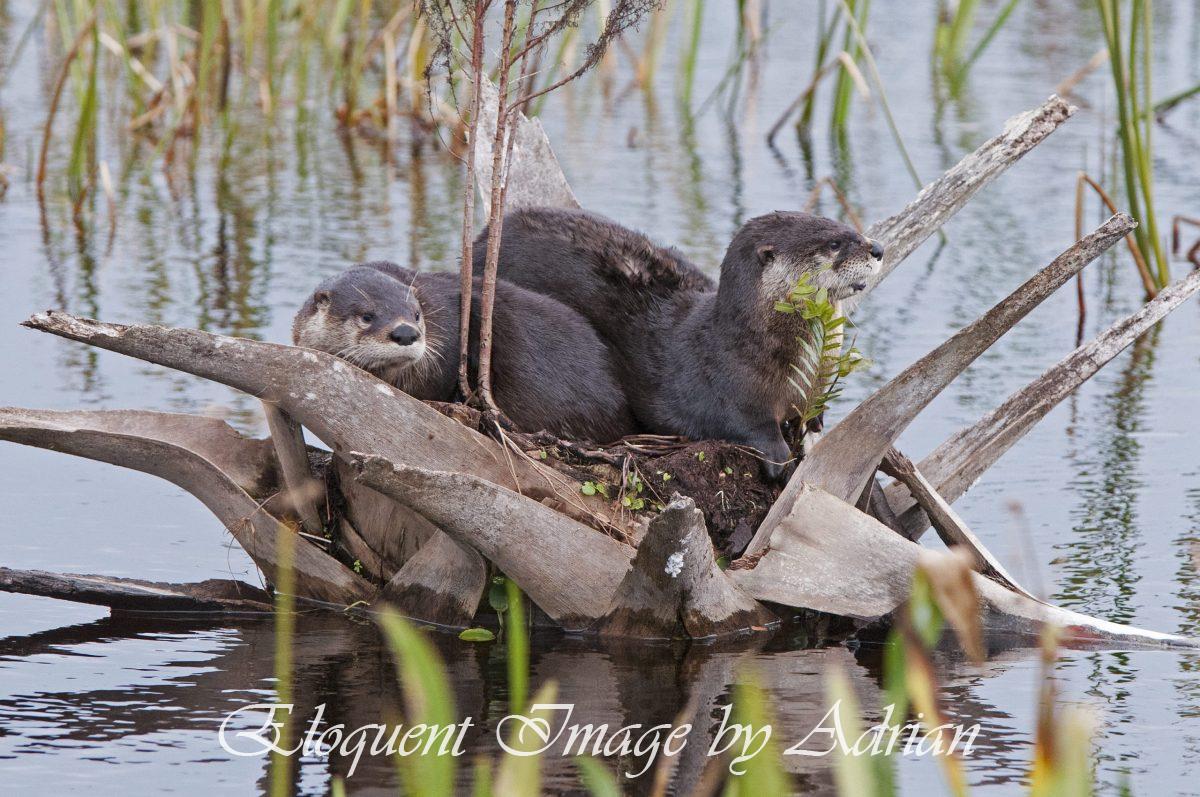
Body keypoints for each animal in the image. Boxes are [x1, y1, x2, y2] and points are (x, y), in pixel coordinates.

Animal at [473, 207, 884, 479]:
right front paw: (780, 459)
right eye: (834, 244)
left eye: (848, 228)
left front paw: (816, 426)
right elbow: (748, 426)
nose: (877, 248)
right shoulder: (725, 392)